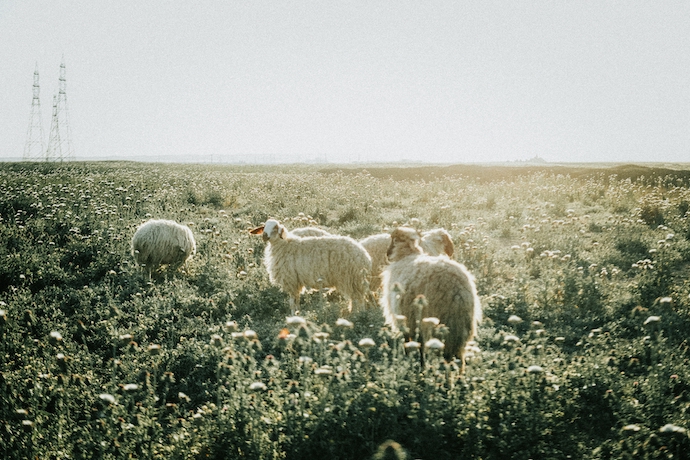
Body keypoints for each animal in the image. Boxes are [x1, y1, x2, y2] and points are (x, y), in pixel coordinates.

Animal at [380, 227, 480, 371]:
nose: (387, 255)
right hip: (461, 326)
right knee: (459, 358)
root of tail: (457, 291)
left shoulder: (406, 316)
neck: (406, 255)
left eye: (393, 240)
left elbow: (413, 342)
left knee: (447, 356)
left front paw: (415, 362)